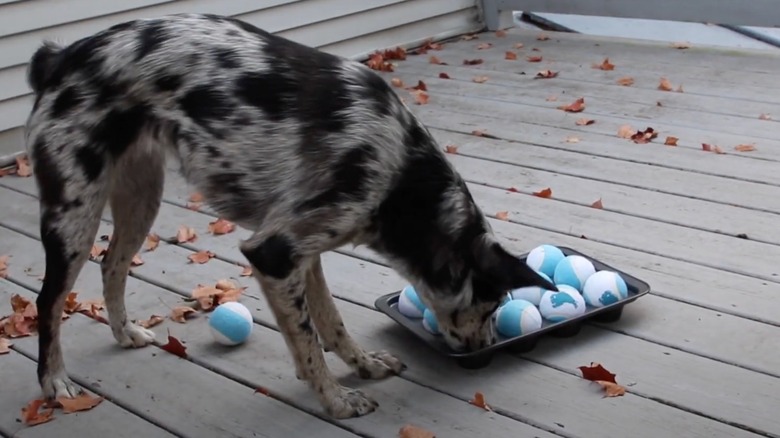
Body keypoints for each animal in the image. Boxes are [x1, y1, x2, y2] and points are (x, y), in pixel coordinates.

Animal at [24, 12, 556, 418]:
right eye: (492, 305)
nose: (484, 348)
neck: (402, 175)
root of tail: (62, 57)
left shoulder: (305, 254)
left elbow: (330, 323)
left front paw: (363, 365)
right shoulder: (274, 255)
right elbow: (308, 341)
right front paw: (337, 401)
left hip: (140, 197)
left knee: (112, 265)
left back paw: (125, 333)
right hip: (74, 216)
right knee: (49, 303)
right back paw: (54, 381)